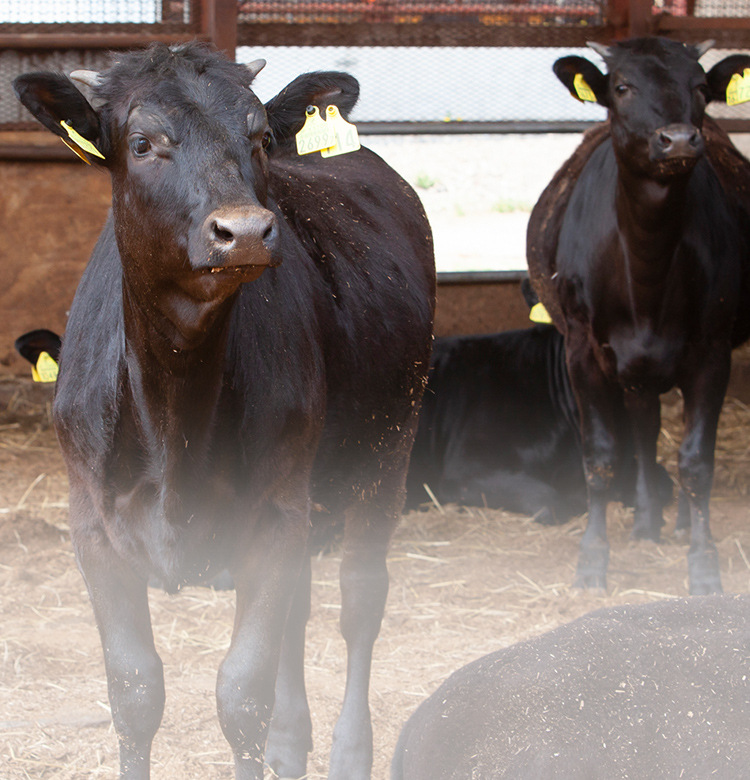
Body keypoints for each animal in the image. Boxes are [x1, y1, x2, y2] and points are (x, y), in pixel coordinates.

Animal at [14, 44, 438, 780]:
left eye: (261, 137)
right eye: (142, 143)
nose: (243, 232)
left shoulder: (274, 513)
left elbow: (242, 694)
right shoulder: (93, 526)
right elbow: (135, 692)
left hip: (387, 449)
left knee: (360, 600)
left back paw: (349, 752)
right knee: (301, 610)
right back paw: (292, 745)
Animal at [524, 38, 750, 592]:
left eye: (699, 86)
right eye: (623, 86)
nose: (678, 140)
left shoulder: (712, 352)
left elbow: (697, 460)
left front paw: (704, 564)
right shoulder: (582, 351)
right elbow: (601, 456)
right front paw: (592, 561)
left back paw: (679, 523)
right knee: (645, 430)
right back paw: (647, 522)